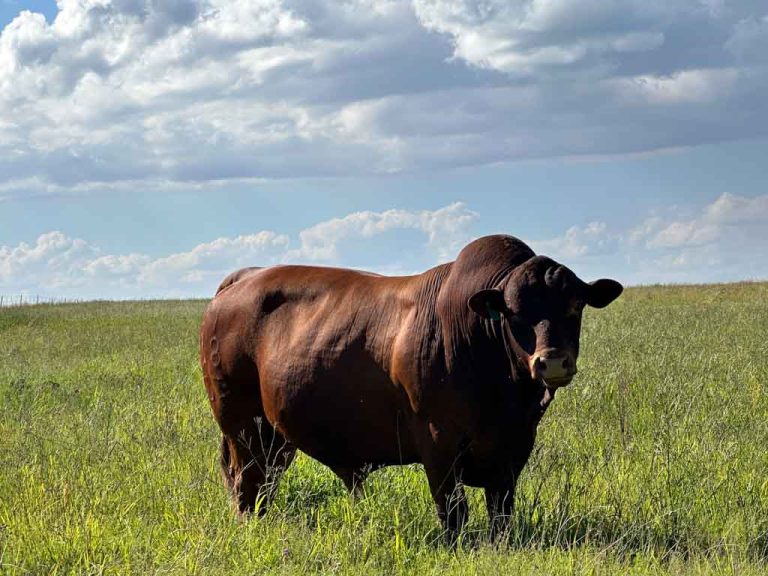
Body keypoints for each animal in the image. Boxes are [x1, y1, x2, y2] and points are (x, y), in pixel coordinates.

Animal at [199, 235, 623, 541]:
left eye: (575, 305)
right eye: (514, 311)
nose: (552, 361)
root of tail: (243, 279)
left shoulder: (514, 447)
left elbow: (500, 509)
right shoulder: (438, 443)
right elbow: (453, 511)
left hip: (277, 434)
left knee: (265, 481)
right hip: (242, 427)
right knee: (246, 482)